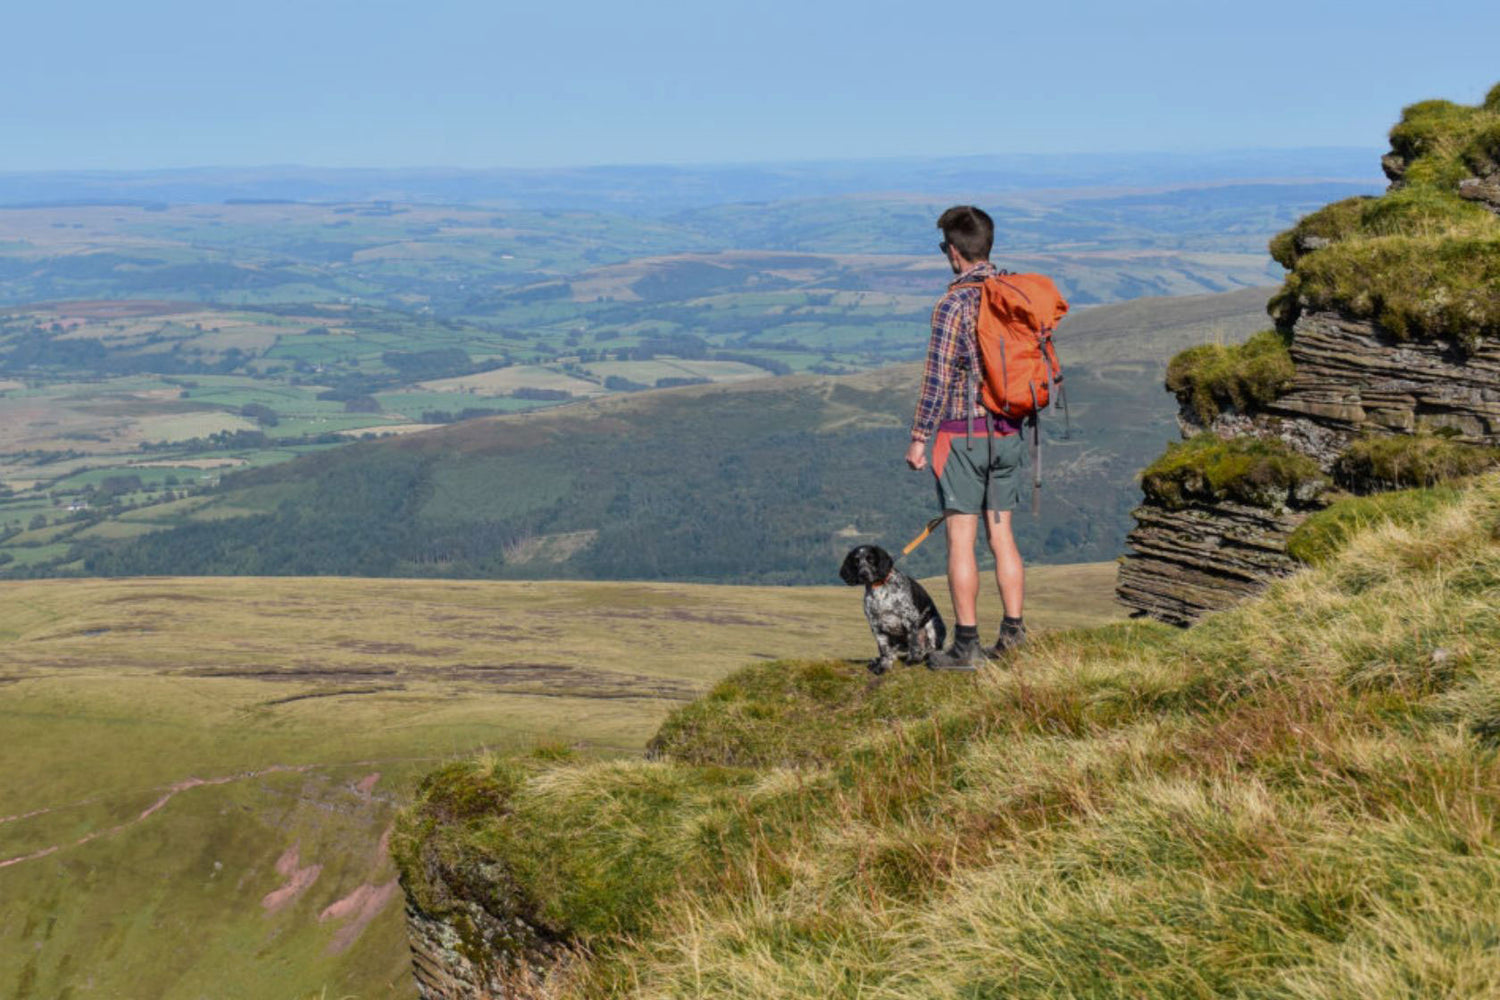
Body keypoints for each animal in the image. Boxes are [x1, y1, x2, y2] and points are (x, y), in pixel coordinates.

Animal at [840, 542, 942, 677]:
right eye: (856, 561)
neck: (879, 589)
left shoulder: (910, 619)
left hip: (932, 626)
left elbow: (914, 642)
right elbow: (884, 650)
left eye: (871, 559)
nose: (863, 574)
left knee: (930, 648)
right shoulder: (876, 625)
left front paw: (913, 661)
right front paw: (883, 666)